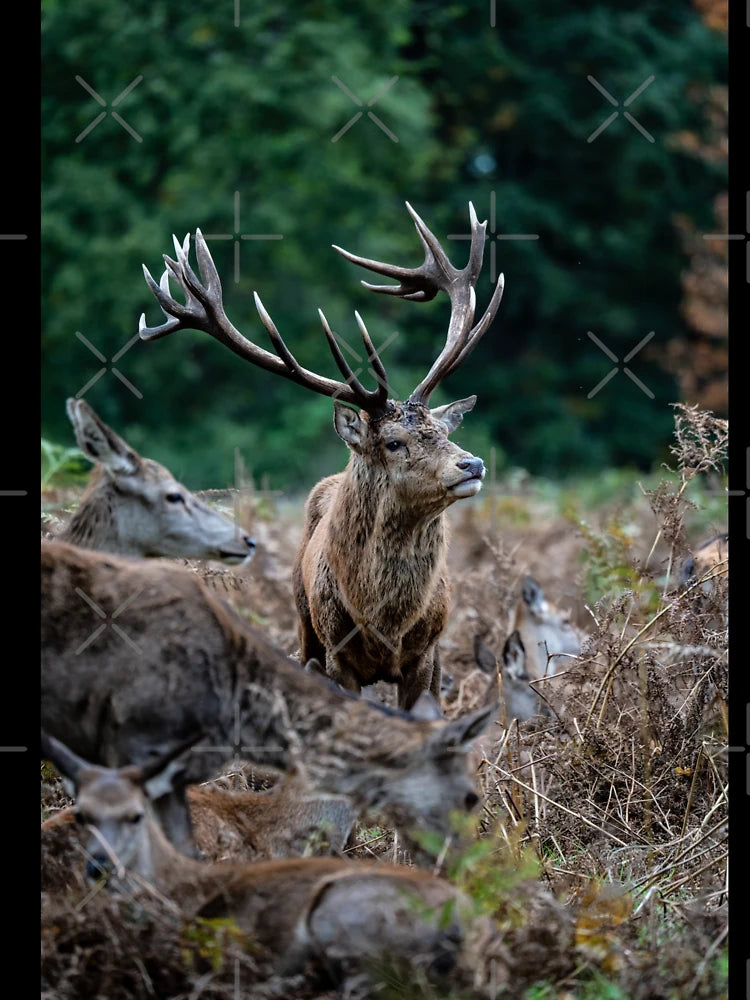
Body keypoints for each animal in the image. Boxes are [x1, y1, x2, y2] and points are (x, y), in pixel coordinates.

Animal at [139, 203, 505, 709]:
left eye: (442, 431)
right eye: (394, 442)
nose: (471, 463)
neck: (384, 626)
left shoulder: (426, 657)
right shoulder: (336, 654)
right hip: (302, 625)